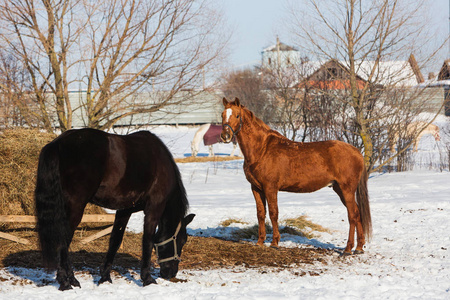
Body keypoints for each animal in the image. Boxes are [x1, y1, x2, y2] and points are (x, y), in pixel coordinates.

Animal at [35, 128, 195, 290]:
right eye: (182, 240)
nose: (171, 273)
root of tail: (58, 142)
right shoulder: (154, 208)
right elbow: (147, 240)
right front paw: (147, 278)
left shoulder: (124, 210)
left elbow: (115, 241)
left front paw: (105, 277)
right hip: (75, 207)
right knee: (63, 239)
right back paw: (65, 282)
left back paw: (72, 279)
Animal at [221, 98, 372, 253]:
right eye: (222, 115)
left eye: (237, 116)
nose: (225, 136)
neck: (262, 149)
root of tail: (356, 152)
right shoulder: (256, 188)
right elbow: (261, 214)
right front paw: (260, 242)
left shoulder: (270, 188)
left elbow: (273, 213)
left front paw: (274, 242)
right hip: (339, 189)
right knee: (358, 214)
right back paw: (359, 247)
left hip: (347, 189)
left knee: (352, 215)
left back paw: (348, 249)